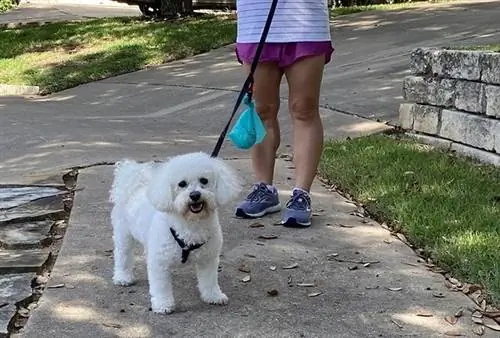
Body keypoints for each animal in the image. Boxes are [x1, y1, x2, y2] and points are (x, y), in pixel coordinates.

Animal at [109, 152, 242, 312]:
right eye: (182, 184)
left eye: (204, 180)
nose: (195, 195)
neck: (191, 225)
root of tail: (133, 185)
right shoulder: (159, 263)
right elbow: (161, 286)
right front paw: (163, 304)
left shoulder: (208, 259)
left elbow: (209, 280)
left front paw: (213, 296)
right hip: (124, 235)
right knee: (123, 255)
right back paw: (123, 277)